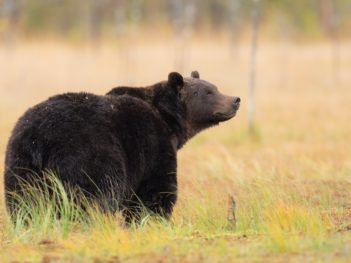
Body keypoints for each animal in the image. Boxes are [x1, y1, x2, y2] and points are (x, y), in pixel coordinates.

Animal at [4, 70, 241, 223]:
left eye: (215, 87)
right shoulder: (153, 144)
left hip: (21, 162)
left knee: (23, 199)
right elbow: (155, 190)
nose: (235, 99)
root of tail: (40, 138)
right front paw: (150, 220)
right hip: (86, 153)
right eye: (209, 92)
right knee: (93, 195)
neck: (169, 121)